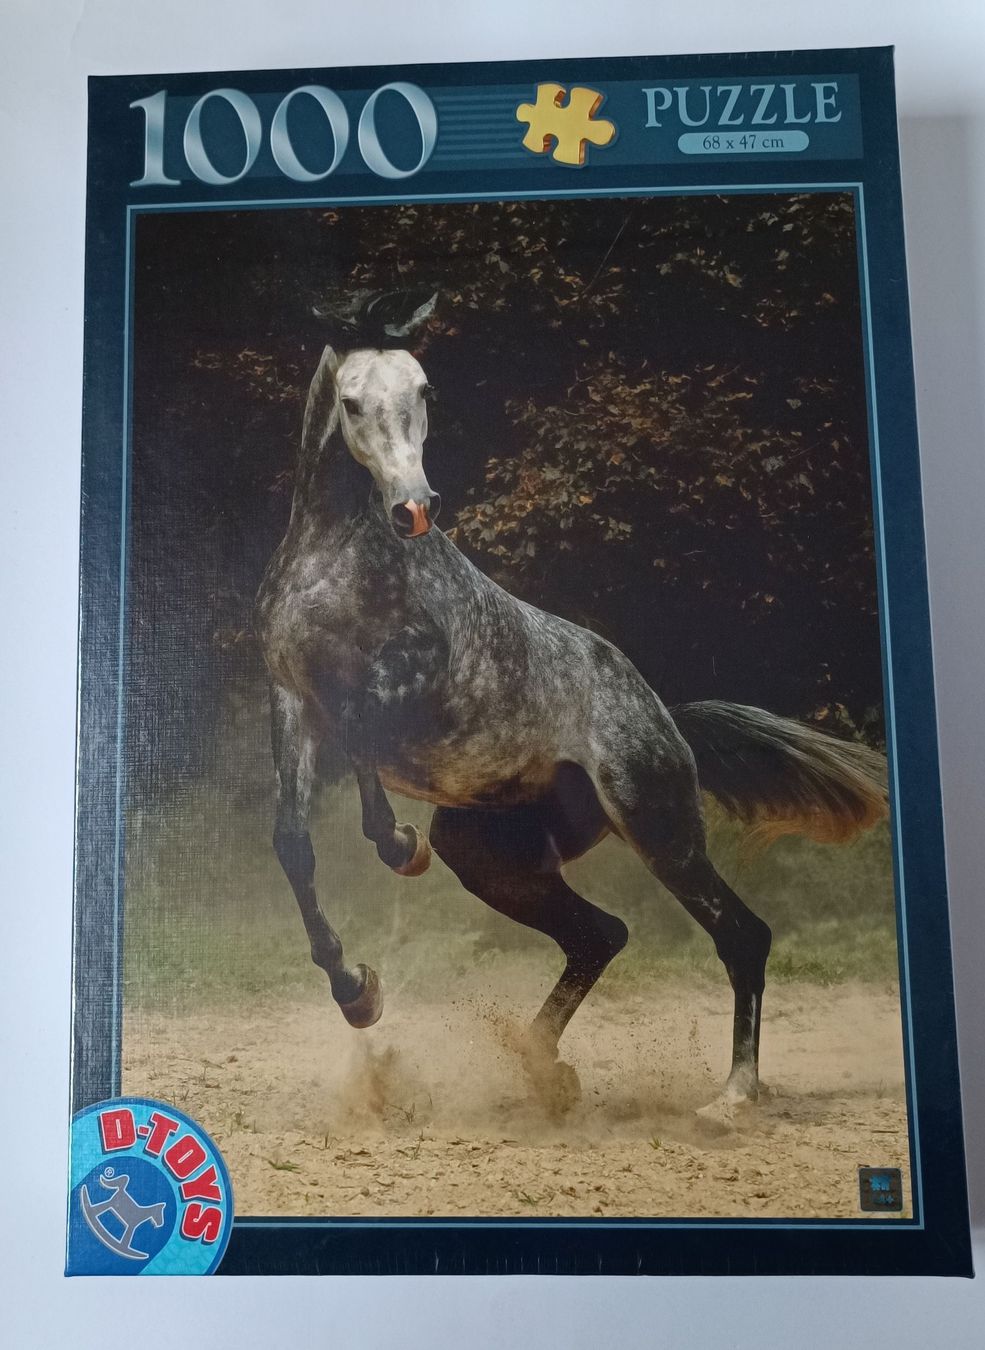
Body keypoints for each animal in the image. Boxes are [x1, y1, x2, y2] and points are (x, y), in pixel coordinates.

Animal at [254, 289, 887, 1117]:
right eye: (352, 402)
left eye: (425, 391)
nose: (414, 509)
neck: (336, 560)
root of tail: (667, 725)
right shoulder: (291, 695)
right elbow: (293, 843)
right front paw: (357, 991)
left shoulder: (400, 687)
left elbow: (361, 741)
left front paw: (397, 846)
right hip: (494, 854)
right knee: (601, 934)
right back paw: (543, 1067)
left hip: (656, 824)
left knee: (739, 935)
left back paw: (730, 1100)